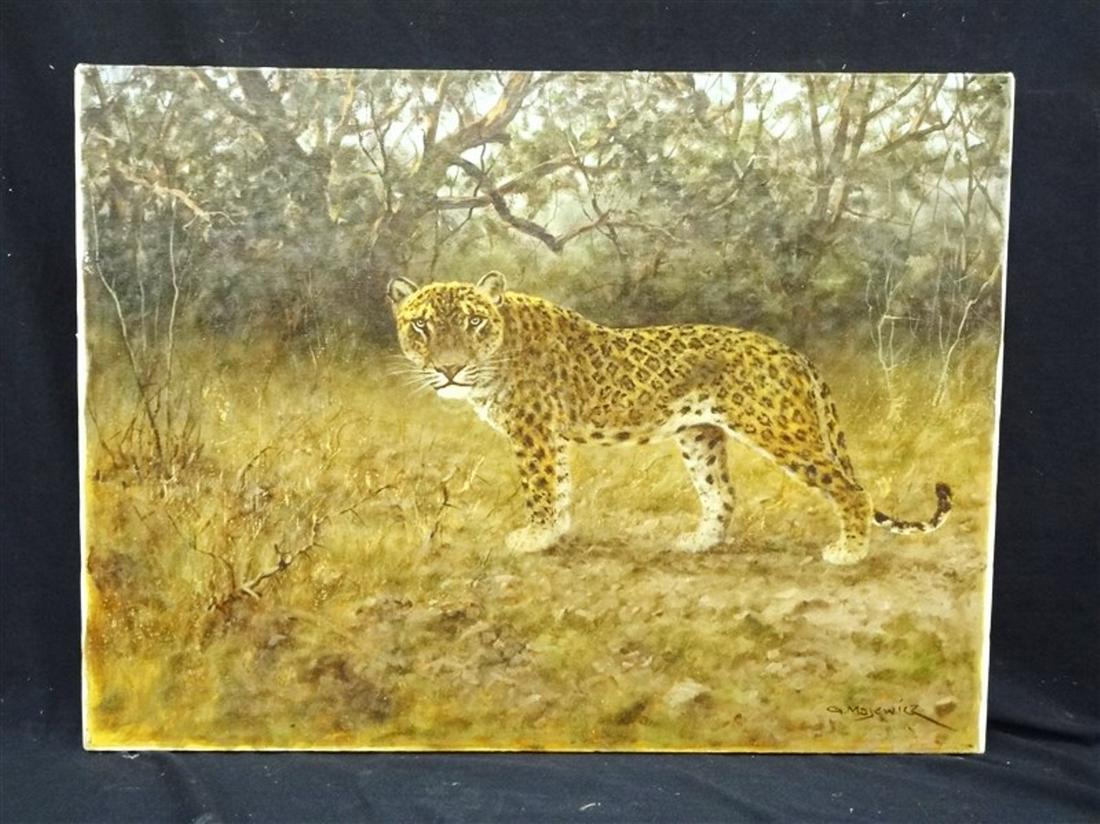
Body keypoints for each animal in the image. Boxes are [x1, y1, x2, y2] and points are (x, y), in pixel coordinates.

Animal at [387, 271, 951, 565]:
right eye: (421, 327)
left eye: (473, 323)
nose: (449, 368)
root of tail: (789, 351)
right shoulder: (550, 435)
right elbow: (561, 485)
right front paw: (555, 534)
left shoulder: (532, 432)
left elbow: (540, 488)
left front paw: (534, 537)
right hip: (700, 436)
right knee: (722, 494)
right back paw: (699, 543)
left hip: (781, 432)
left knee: (852, 490)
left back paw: (848, 551)